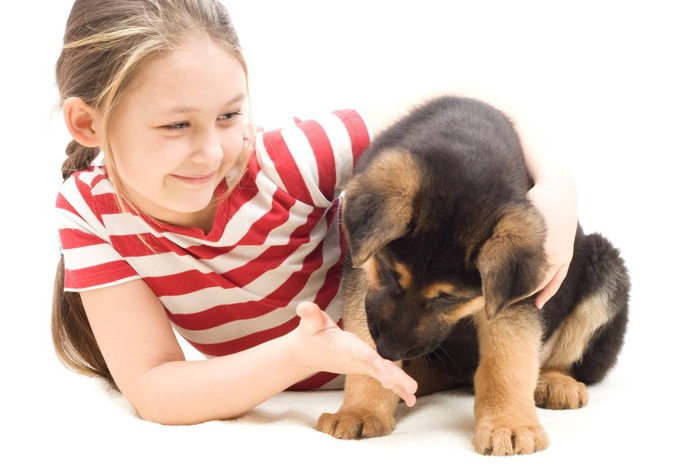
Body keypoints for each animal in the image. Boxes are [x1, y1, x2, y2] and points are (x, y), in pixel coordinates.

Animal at [318, 96, 628, 458]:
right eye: (391, 273)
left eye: (449, 298)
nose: (390, 352)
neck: (465, 142)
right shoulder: (361, 275)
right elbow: (363, 345)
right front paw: (361, 410)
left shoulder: (513, 302)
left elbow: (506, 364)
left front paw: (508, 425)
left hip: (606, 269)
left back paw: (555, 381)